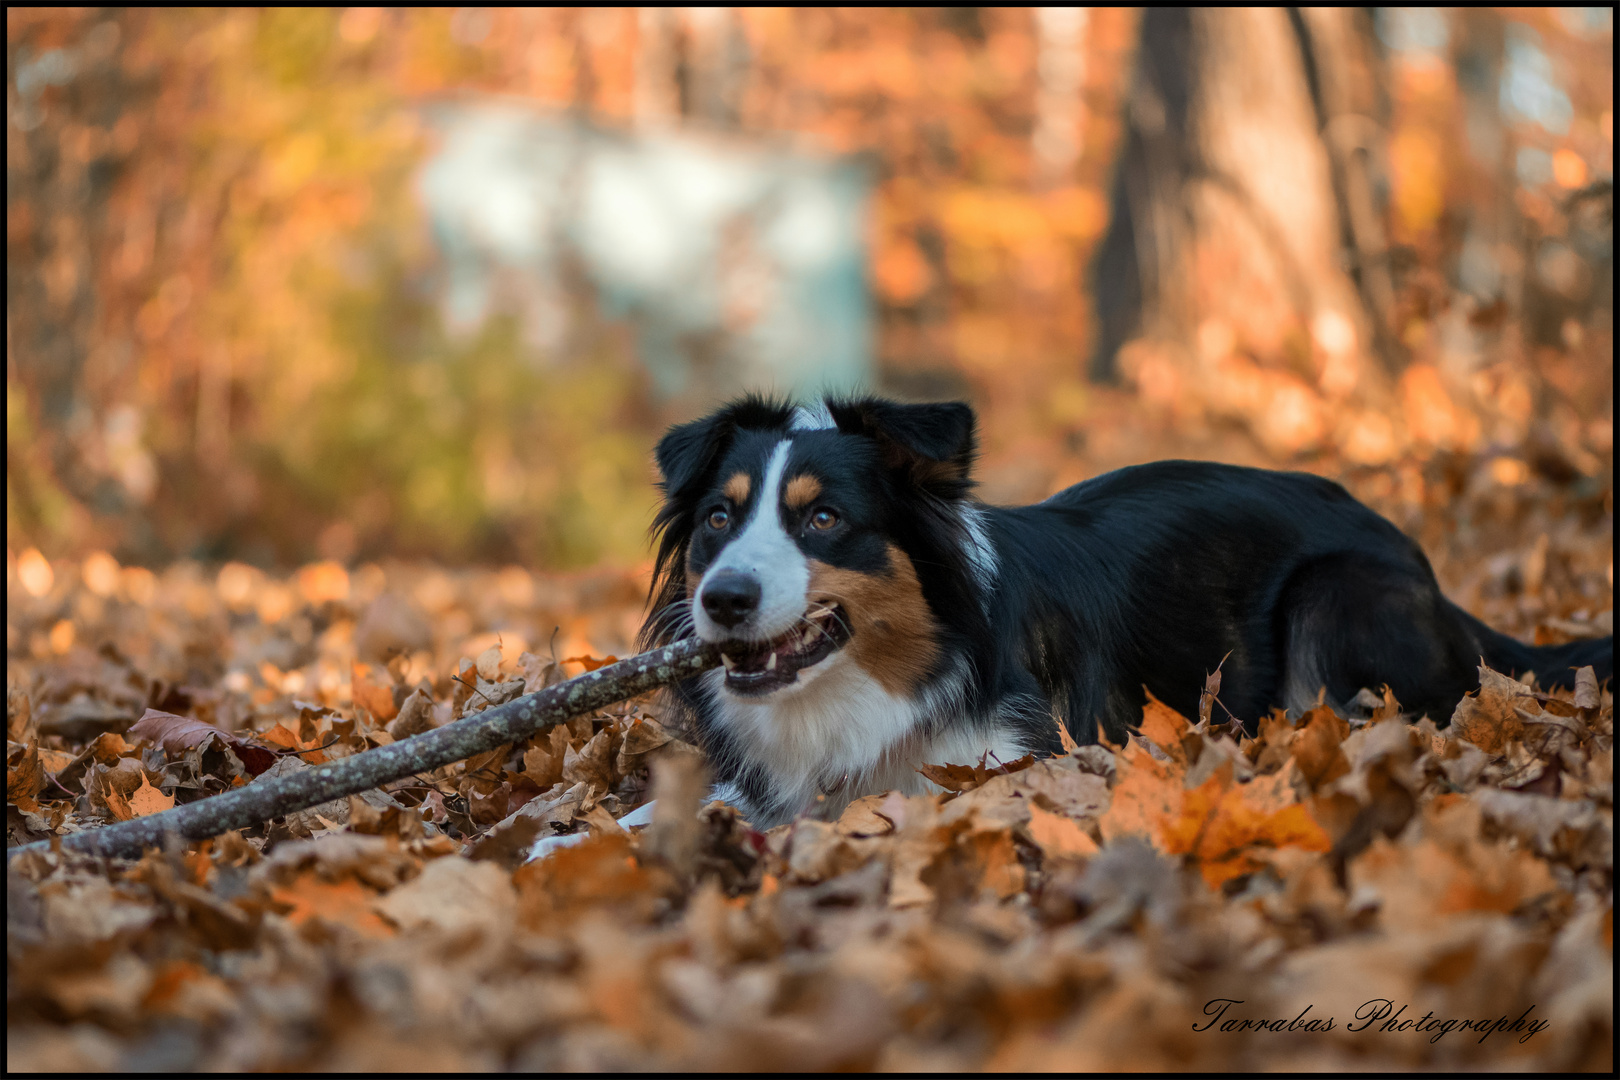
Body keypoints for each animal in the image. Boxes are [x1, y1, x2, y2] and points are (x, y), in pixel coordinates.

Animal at [638, 396, 1613, 829]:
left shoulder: (1014, 760)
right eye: (719, 518)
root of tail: (1419, 560)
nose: (723, 600)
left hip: (1339, 597)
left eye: (825, 519)